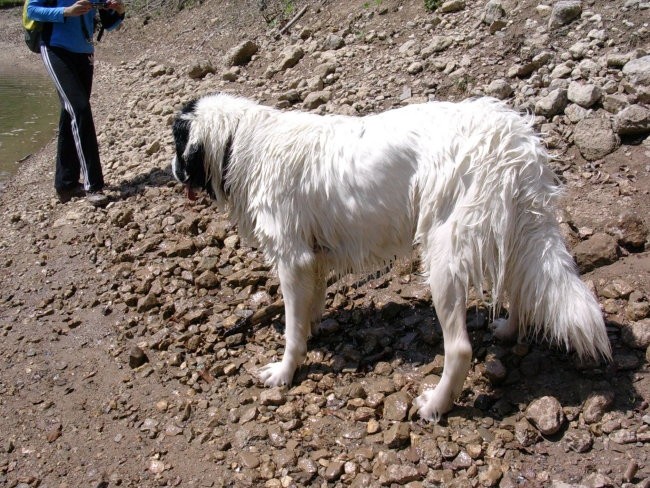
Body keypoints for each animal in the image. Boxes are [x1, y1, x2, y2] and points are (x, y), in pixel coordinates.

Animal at [170, 93, 612, 422]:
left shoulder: (292, 257)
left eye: (176, 144)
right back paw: (509, 329)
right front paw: (312, 329)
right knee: (518, 282)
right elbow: (310, 306)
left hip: (444, 252)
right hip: (513, 224)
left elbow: (292, 329)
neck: (241, 140)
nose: (172, 170)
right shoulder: (313, 258)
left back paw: (436, 404)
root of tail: (514, 138)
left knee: (460, 348)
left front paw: (284, 370)